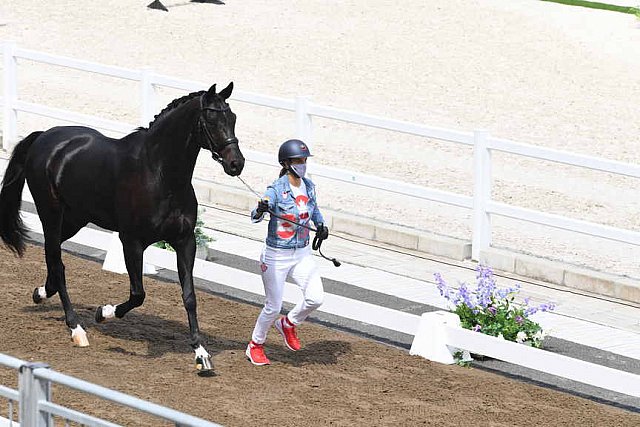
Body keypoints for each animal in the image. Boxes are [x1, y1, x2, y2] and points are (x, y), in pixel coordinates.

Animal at [0, 82, 244, 372]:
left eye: (232, 118)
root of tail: (44, 137)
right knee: (57, 262)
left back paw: (41, 293)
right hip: (51, 214)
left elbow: (189, 296)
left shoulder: (185, 242)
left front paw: (201, 354)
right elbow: (138, 294)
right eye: (211, 119)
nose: (236, 164)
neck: (160, 173)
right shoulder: (132, 242)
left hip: (75, 218)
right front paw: (103, 312)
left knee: (53, 253)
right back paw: (76, 328)